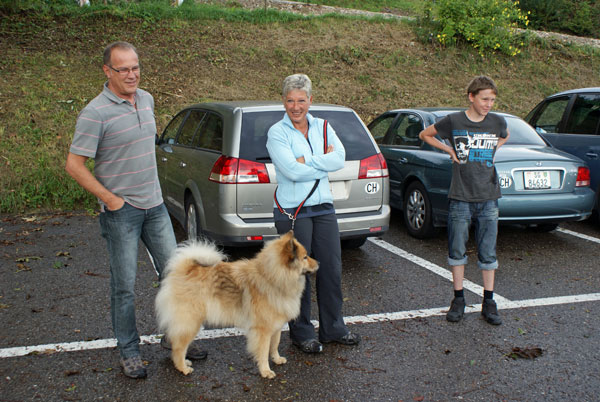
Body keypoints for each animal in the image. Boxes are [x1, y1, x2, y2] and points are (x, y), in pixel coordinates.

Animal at [155, 231, 318, 378]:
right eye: (305, 257)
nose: (318, 263)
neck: (271, 277)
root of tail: (185, 269)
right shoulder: (263, 330)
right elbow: (263, 351)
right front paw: (265, 371)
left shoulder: (276, 326)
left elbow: (274, 345)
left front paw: (277, 359)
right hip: (190, 322)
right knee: (178, 347)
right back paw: (183, 367)